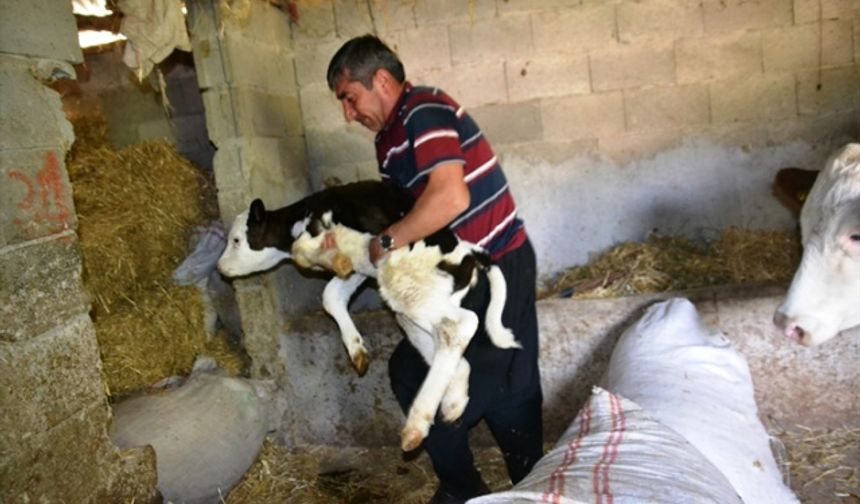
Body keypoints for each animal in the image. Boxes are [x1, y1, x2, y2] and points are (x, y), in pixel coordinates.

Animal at [218, 181, 520, 448]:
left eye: (236, 240)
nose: (220, 267)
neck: (300, 217)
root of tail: (469, 253)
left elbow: (301, 250)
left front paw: (326, 258)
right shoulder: (361, 269)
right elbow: (331, 295)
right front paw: (357, 351)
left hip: (411, 290)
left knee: (463, 324)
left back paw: (416, 424)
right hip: (413, 307)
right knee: (454, 350)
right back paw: (453, 403)